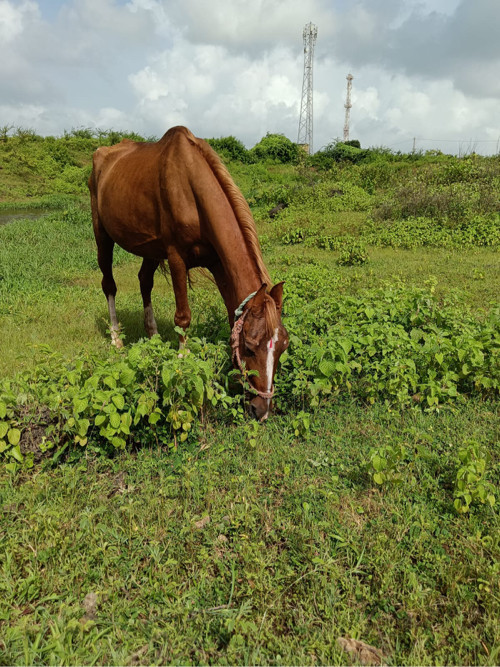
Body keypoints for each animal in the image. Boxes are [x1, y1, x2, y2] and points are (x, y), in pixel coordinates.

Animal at [90, 124, 290, 422]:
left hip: (151, 248)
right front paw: (182, 365)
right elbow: (183, 318)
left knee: (144, 281)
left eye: (282, 347)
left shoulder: (217, 262)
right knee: (109, 284)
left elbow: (230, 313)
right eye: (250, 347)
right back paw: (116, 337)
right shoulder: (175, 257)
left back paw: (154, 337)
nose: (261, 410)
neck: (191, 188)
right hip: (102, 234)